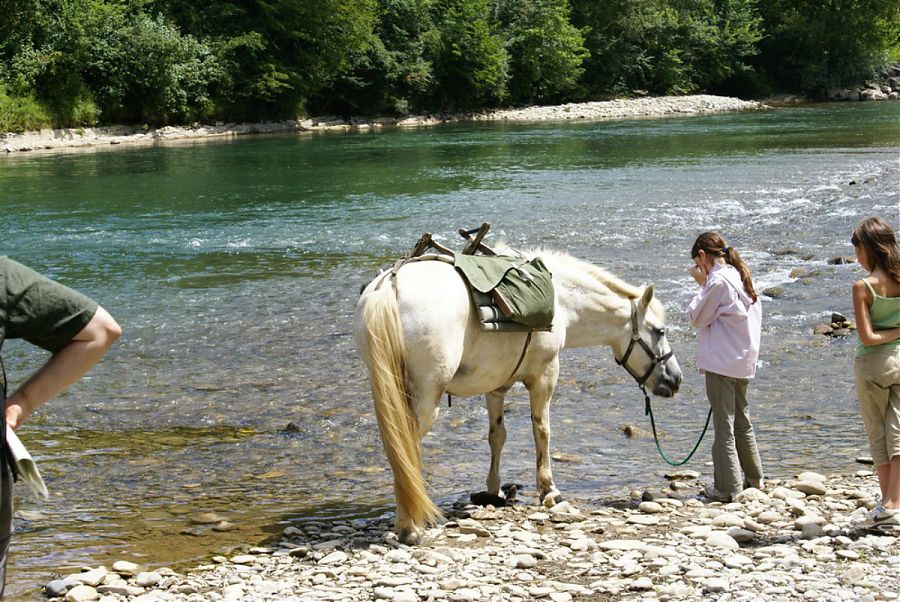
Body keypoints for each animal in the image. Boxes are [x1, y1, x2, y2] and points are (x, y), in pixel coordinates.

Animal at [354, 248, 683, 545]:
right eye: (659, 330)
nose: (675, 379)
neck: (561, 300)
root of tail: (390, 286)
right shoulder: (545, 375)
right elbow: (542, 431)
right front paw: (548, 489)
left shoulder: (495, 386)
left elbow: (497, 437)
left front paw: (493, 490)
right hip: (424, 400)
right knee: (406, 450)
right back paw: (409, 528)